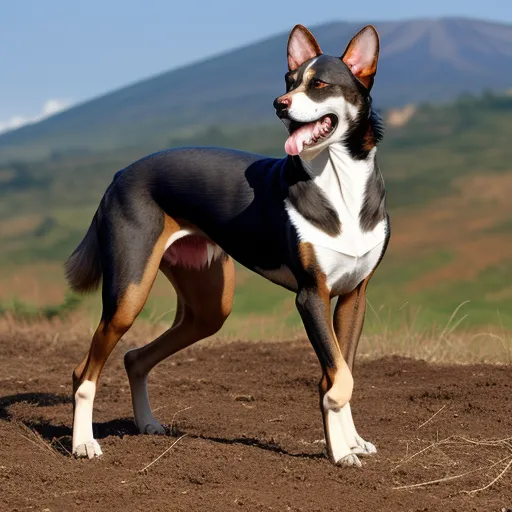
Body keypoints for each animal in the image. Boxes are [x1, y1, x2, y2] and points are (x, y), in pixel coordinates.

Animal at [66, 23, 390, 468]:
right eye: (289, 81)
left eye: (319, 84)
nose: (279, 104)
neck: (337, 182)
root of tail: (120, 174)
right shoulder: (311, 296)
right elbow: (336, 378)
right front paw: (340, 452)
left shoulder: (354, 295)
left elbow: (346, 369)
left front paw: (351, 443)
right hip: (128, 296)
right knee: (84, 373)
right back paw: (83, 444)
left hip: (208, 309)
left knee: (135, 357)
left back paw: (147, 424)